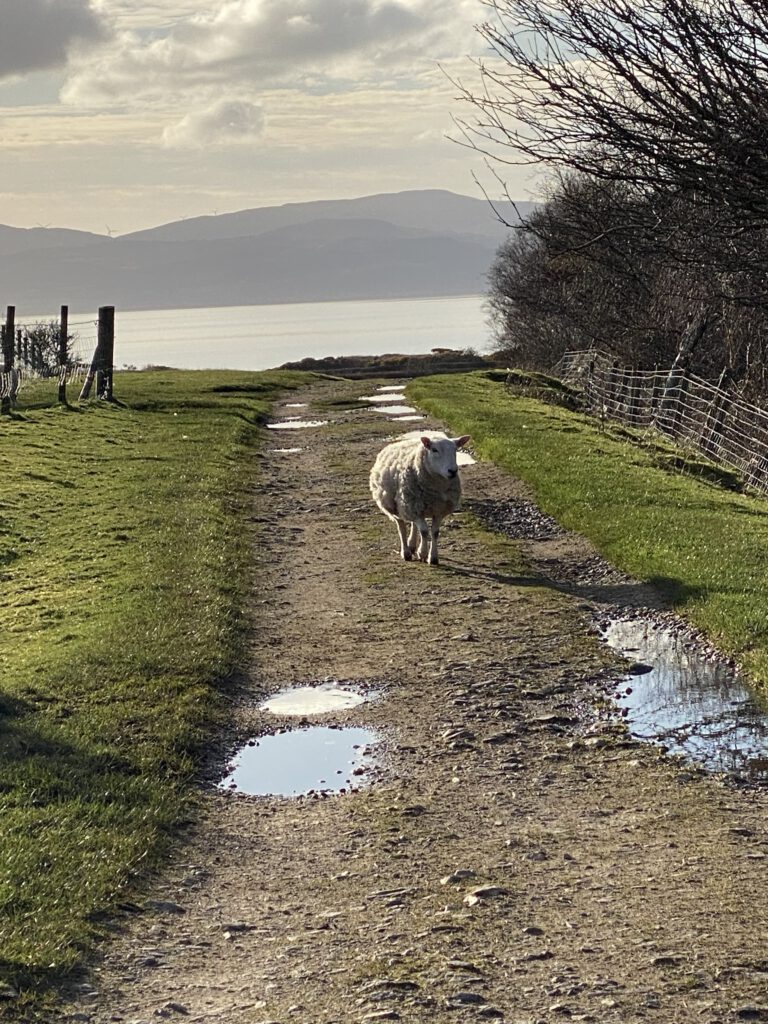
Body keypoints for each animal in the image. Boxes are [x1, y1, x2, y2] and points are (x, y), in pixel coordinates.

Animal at [370, 428, 473, 565]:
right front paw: (422, 553)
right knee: (401, 526)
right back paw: (406, 552)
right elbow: (424, 532)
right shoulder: (413, 507)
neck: (435, 489)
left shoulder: (438, 510)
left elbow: (435, 532)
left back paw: (412, 545)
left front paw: (433, 557)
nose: (452, 471)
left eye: (455, 449)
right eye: (434, 450)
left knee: (413, 524)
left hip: (413, 506)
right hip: (396, 505)